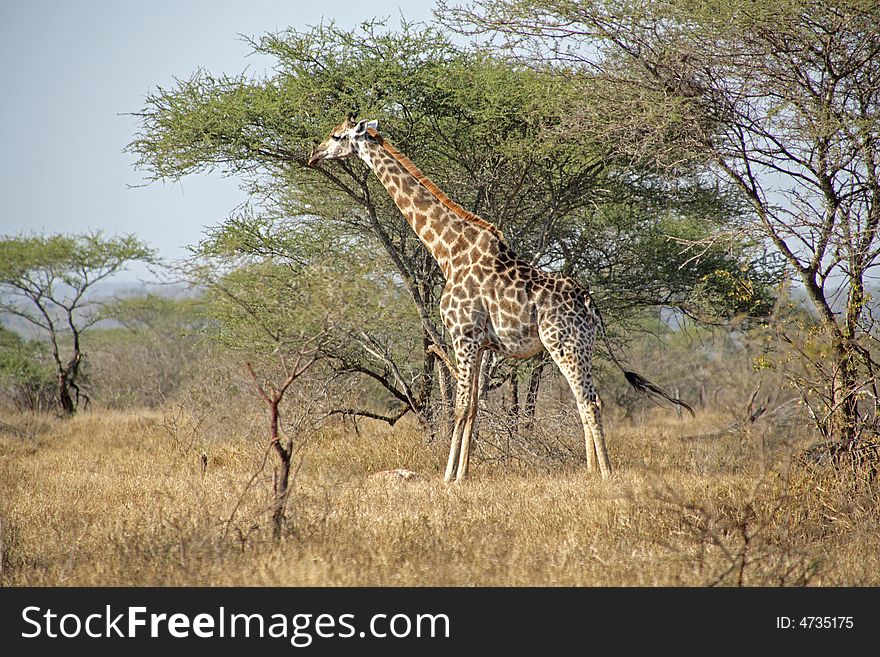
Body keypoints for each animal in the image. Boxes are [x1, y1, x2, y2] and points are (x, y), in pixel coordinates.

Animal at [310, 114, 696, 482]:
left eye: (336, 135)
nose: (314, 154)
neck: (448, 252)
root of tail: (589, 303)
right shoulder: (481, 344)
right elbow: (474, 407)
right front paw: (463, 473)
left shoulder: (463, 335)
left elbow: (459, 407)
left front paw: (448, 477)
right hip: (581, 347)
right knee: (582, 400)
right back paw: (588, 471)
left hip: (564, 343)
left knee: (591, 402)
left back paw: (605, 474)